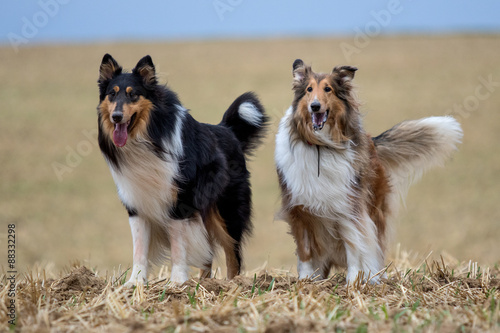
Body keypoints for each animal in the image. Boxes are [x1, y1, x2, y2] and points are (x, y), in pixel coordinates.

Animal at [96, 54, 268, 286]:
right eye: (112, 94)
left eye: (133, 95)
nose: (116, 116)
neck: (149, 139)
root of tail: (227, 129)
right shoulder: (136, 204)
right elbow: (139, 249)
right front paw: (135, 282)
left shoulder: (179, 204)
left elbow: (178, 247)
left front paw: (176, 281)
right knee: (208, 254)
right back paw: (204, 284)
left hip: (227, 211)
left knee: (233, 254)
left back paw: (232, 284)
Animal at [276, 59, 462, 282]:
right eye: (308, 89)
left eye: (328, 89)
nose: (315, 106)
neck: (322, 146)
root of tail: (372, 142)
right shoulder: (299, 208)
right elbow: (305, 251)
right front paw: (306, 281)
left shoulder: (348, 207)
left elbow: (354, 245)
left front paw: (353, 282)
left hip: (374, 207)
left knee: (375, 244)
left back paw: (374, 275)